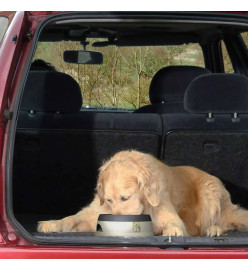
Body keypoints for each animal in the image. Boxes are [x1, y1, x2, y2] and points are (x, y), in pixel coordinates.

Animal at [36, 150, 248, 236]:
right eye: (109, 200)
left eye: (126, 198)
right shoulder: (93, 213)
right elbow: (71, 219)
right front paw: (52, 223)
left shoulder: (168, 214)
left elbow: (173, 224)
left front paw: (170, 231)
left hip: (209, 192)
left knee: (228, 222)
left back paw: (214, 229)